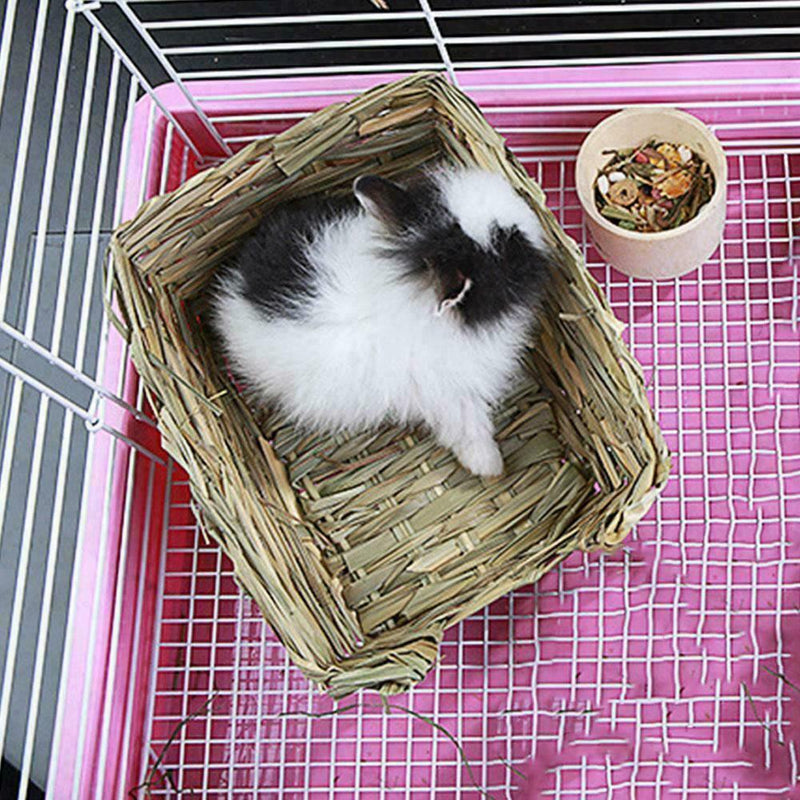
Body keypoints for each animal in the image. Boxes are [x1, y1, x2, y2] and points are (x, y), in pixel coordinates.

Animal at [212, 166, 553, 477]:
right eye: (507, 245)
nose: (530, 215)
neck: (411, 284)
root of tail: (233, 286)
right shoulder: (449, 393)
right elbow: (469, 427)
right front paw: (490, 466)